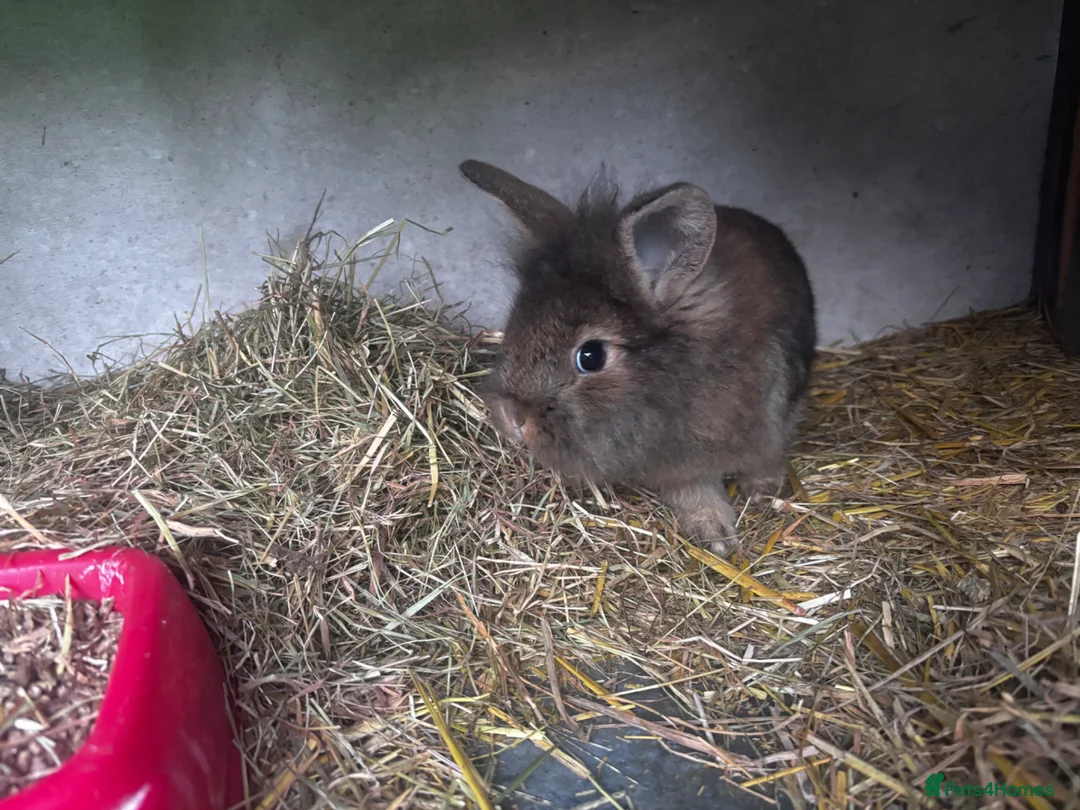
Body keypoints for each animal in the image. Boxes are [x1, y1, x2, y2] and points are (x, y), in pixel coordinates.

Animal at [460, 159, 817, 557]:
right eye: (514, 324)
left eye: (591, 356)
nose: (513, 418)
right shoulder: (678, 469)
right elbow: (694, 492)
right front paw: (715, 535)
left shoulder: (775, 420)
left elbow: (767, 459)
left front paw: (762, 494)